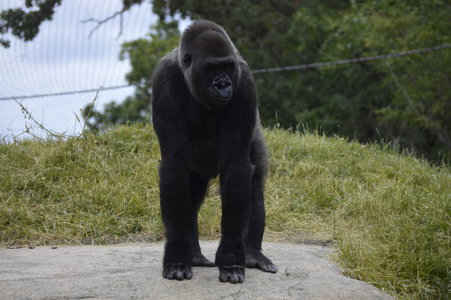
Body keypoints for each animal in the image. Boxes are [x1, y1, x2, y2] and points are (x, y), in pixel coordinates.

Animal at [152, 19, 278, 284]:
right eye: (212, 68)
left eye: (227, 67)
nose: (222, 84)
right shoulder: (164, 80)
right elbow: (174, 164)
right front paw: (177, 256)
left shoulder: (244, 82)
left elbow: (237, 166)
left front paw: (231, 258)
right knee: (190, 194)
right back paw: (194, 255)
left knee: (253, 186)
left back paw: (252, 253)